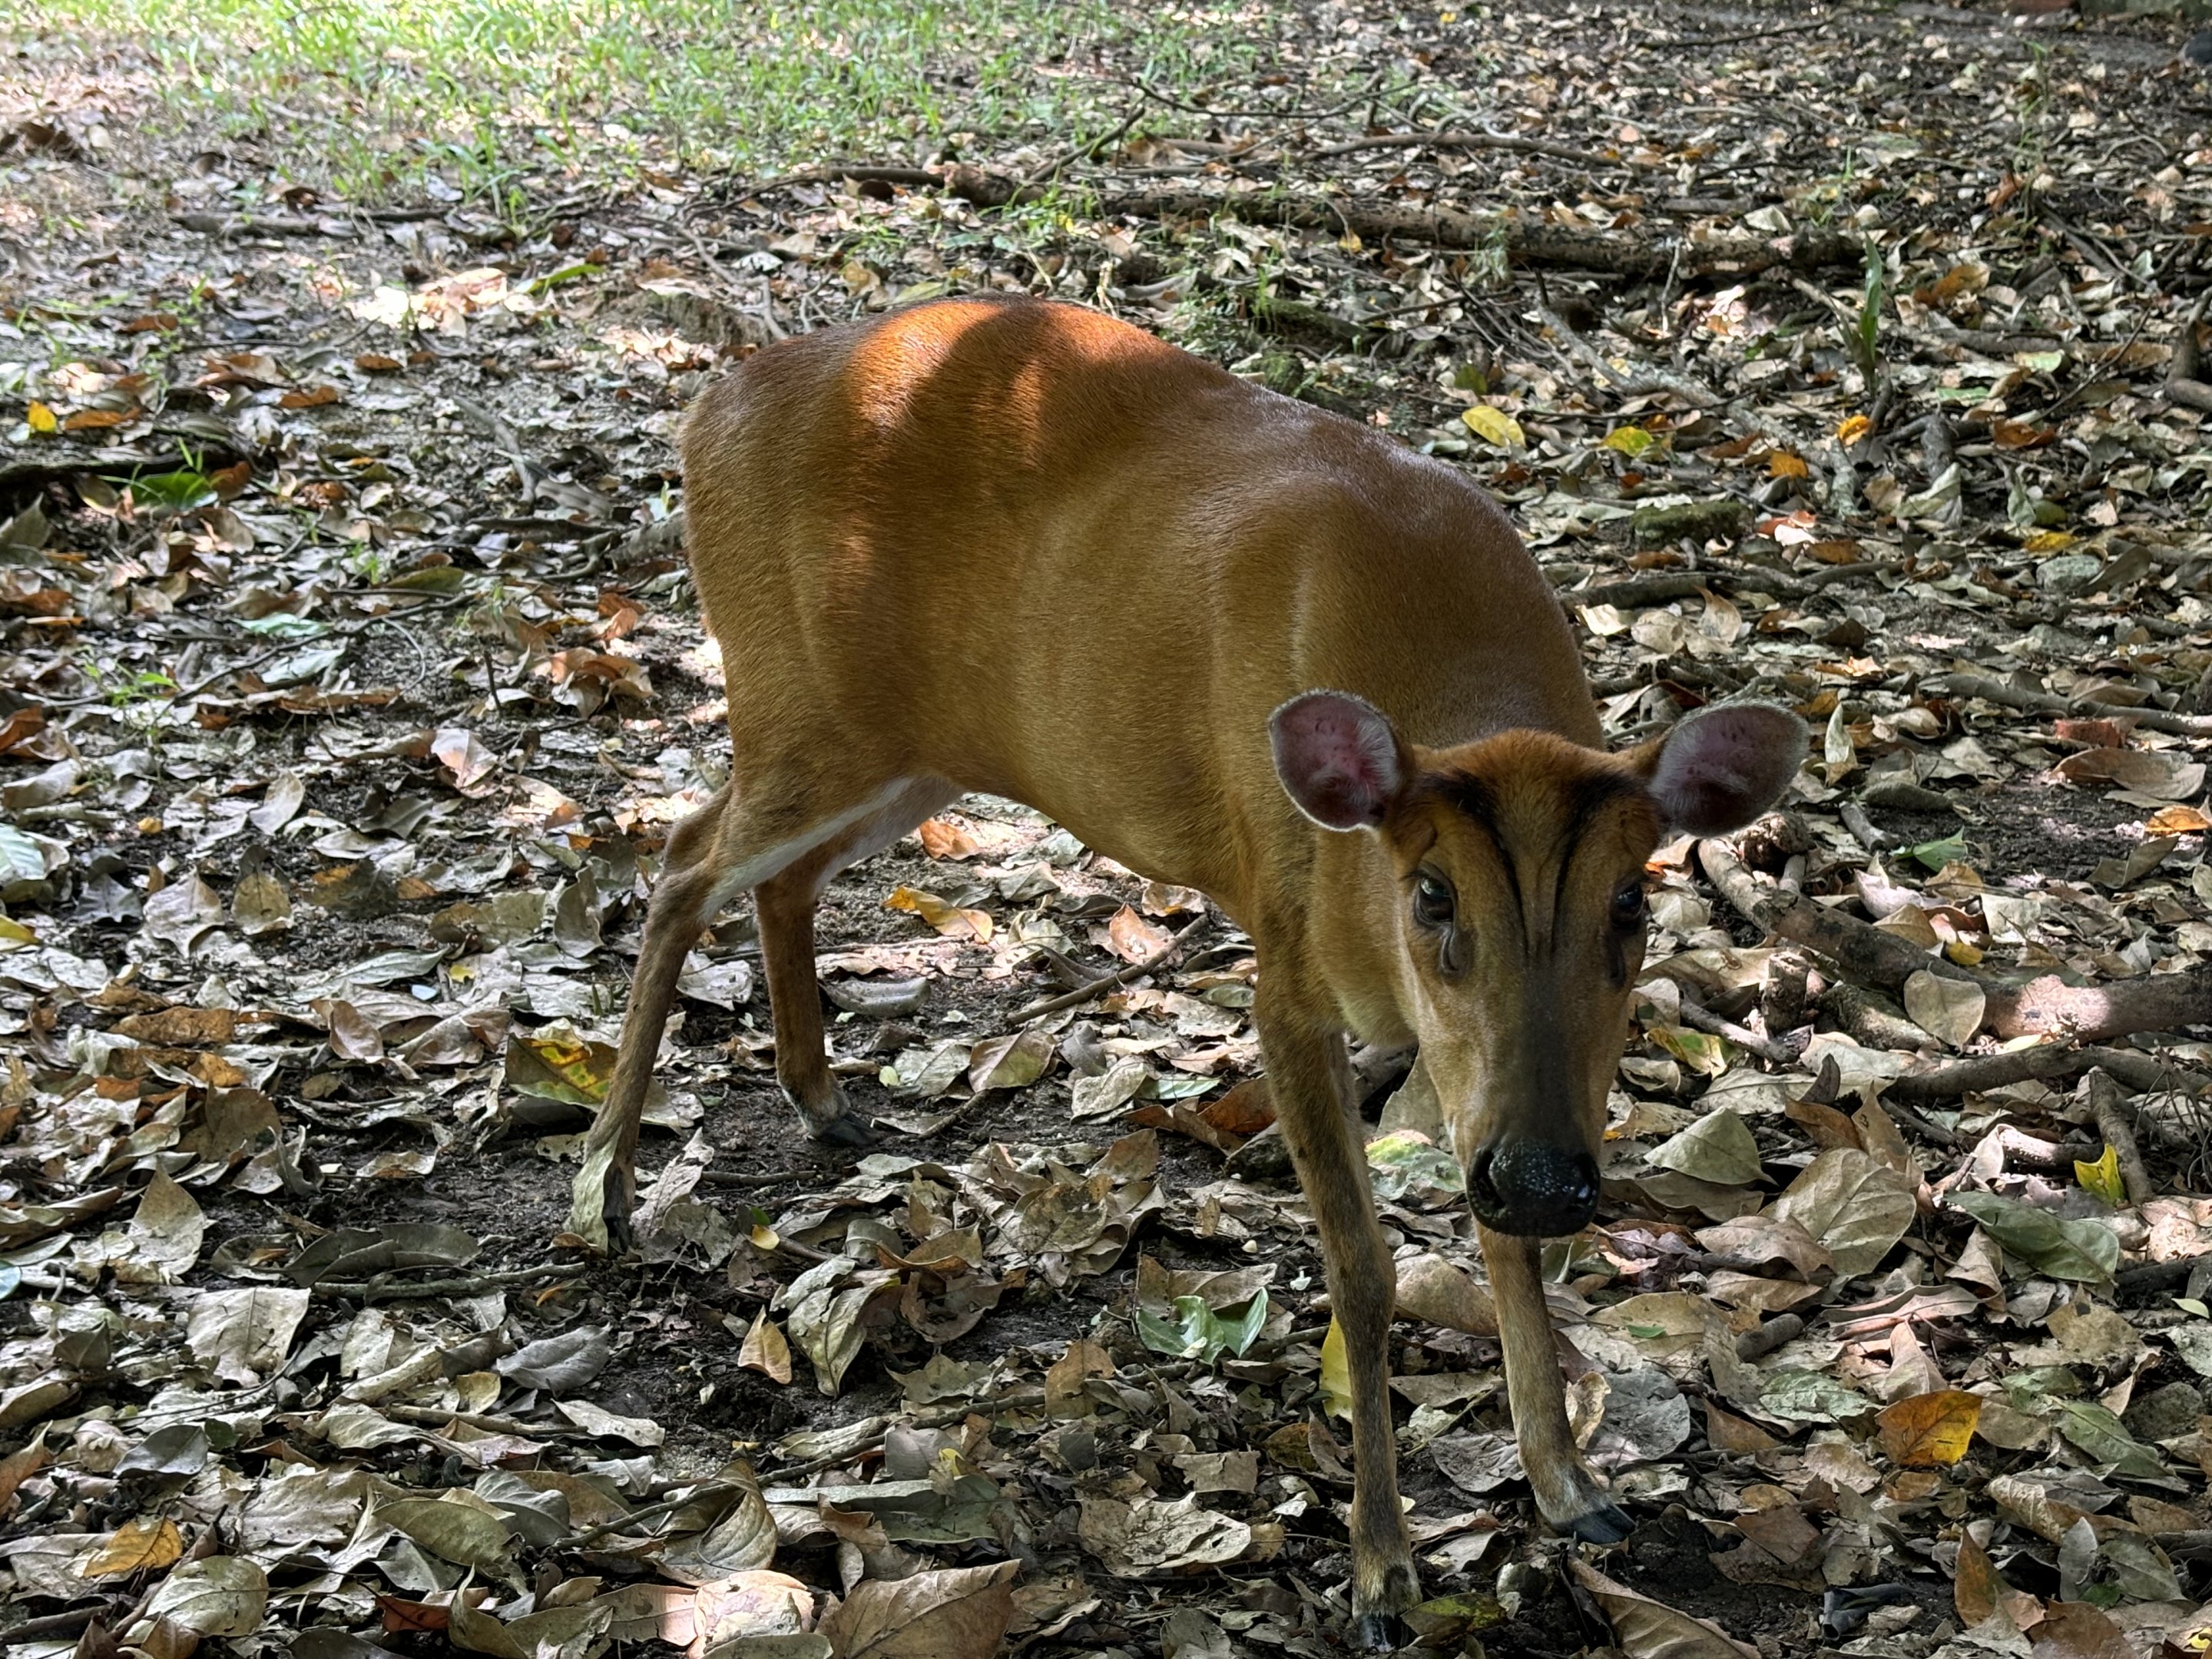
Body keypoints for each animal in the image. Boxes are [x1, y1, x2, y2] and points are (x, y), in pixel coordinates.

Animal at [565, 294, 1804, 1642]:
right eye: (1432, 894)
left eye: (1632, 901)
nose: (1542, 1179)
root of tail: (707, 413)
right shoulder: (1284, 966)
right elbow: (1364, 1272)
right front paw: (1381, 1572)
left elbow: (1502, 1247)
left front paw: (1569, 1485)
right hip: (796, 704)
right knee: (681, 861)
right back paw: (608, 1185)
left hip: (912, 748)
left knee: (774, 877)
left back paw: (819, 1099)